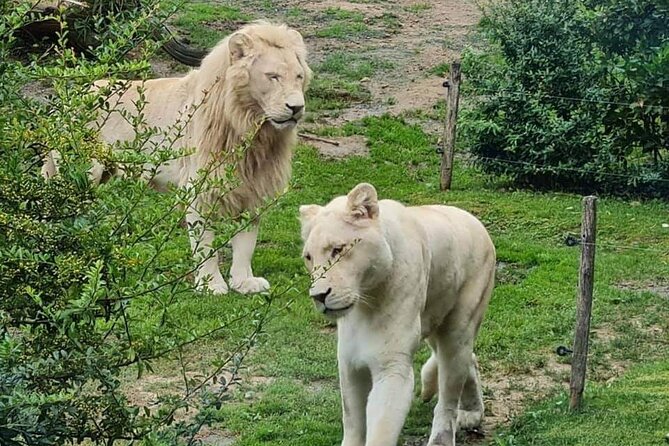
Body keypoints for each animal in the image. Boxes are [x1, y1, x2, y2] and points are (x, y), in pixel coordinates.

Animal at [42, 21, 312, 295]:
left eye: (299, 77)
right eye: (273, 76)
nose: (296, 108)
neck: (253, 129)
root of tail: (64, 102)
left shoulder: (253, 186)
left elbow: (246, 242)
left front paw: (244, 281)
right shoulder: (199, 189)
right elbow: (204, 244)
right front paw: (211, 285)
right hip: (83, 171)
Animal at [299, 183, 496, 446]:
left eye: (338, 250)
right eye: (308, 257)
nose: (318, 296)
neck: (366, 303)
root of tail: (474, 220)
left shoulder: (391, 365)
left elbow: (381, 427)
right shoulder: (349, 361)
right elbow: (352, 419)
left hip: (459, 326)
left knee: (449, 394)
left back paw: (443, 436)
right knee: (469, 360)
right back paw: (472, 412)